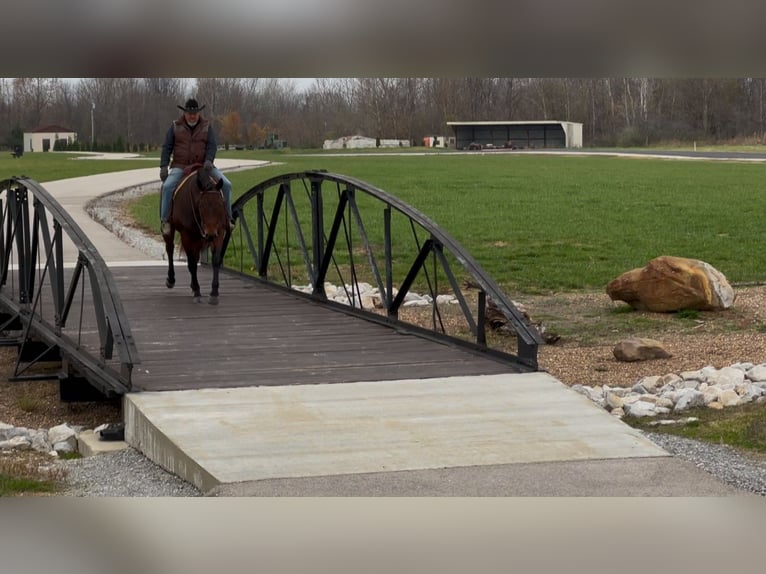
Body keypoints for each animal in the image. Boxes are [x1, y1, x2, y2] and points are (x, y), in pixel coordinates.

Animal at [164, 163, 231, 306]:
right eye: (201, 206)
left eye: (220, 205)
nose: (210, 234)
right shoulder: (186, 235)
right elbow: (192, 264)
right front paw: (197, 291)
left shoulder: (219, 232)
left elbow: (215, 260)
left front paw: (214, 293)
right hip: (172, 230)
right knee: (170, 249)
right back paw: (171, 279)